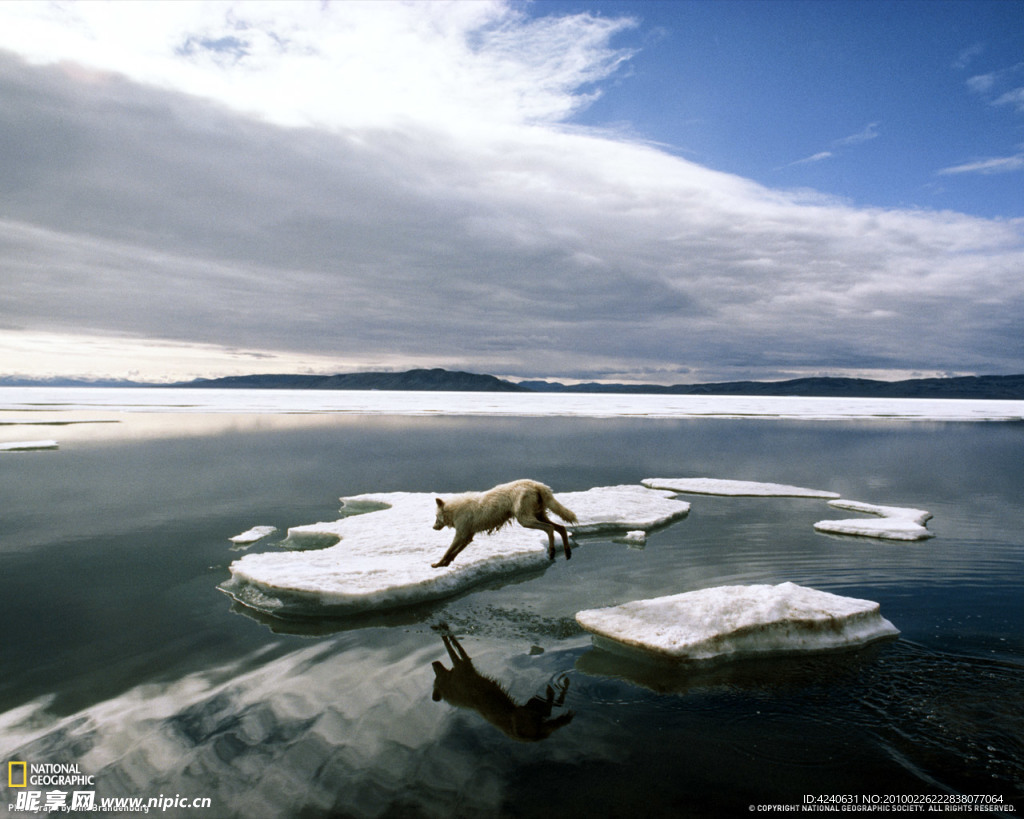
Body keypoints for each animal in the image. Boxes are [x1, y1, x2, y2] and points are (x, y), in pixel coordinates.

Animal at [430, 479, 577, 569]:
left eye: (436, 517)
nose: (433, 527)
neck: (454, 510)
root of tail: (536, 484)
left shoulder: (461, 535)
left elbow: (448, 551)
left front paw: (437, 564)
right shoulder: (468, 537)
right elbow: (453, 553)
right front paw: (444, 564)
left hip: (525, 520)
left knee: (550, 528)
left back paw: (552, 552)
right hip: (538, 516)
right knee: (561, 528)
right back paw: (567, 552)